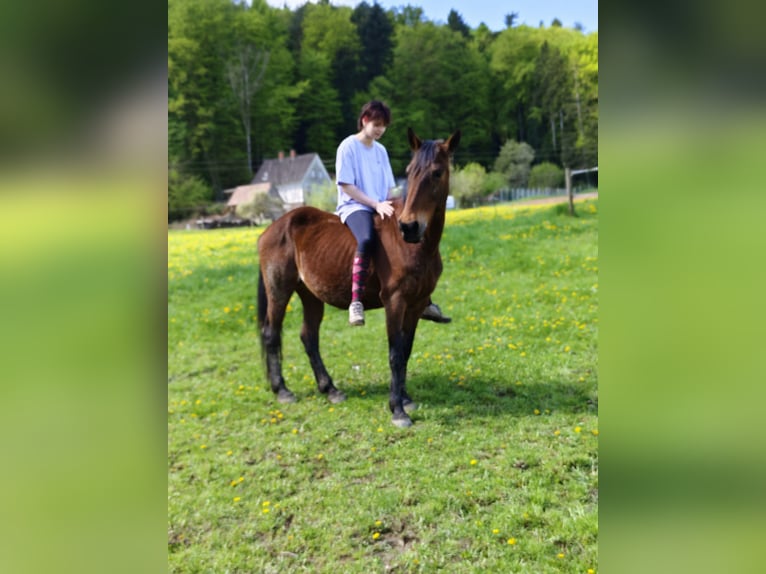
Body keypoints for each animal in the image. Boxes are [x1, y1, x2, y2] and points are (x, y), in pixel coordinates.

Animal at [257, 128, 460, 427]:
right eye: (410, 171)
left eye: (437, 172)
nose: (409, 227)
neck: (415, 247)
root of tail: (273, 228)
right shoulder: (395, 302)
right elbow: (395, 353)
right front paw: (397, 410)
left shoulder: (415, 304)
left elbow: (406, 350)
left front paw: (406, 398)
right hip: (279, 290)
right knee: (272, 333)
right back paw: (282, 390)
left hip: (311, 295)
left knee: (309, 336)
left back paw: (330, 389)